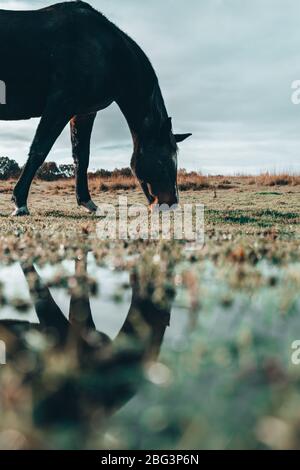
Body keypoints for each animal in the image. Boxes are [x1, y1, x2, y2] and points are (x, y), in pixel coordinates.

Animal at [0, 0, 191, 215]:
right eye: (164, 161)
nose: (171, 203)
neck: (106, 51)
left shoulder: (83, 113)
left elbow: (82, 156)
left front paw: (87, 201)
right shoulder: (60, 104)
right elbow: (39, 150)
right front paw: (20, 202)